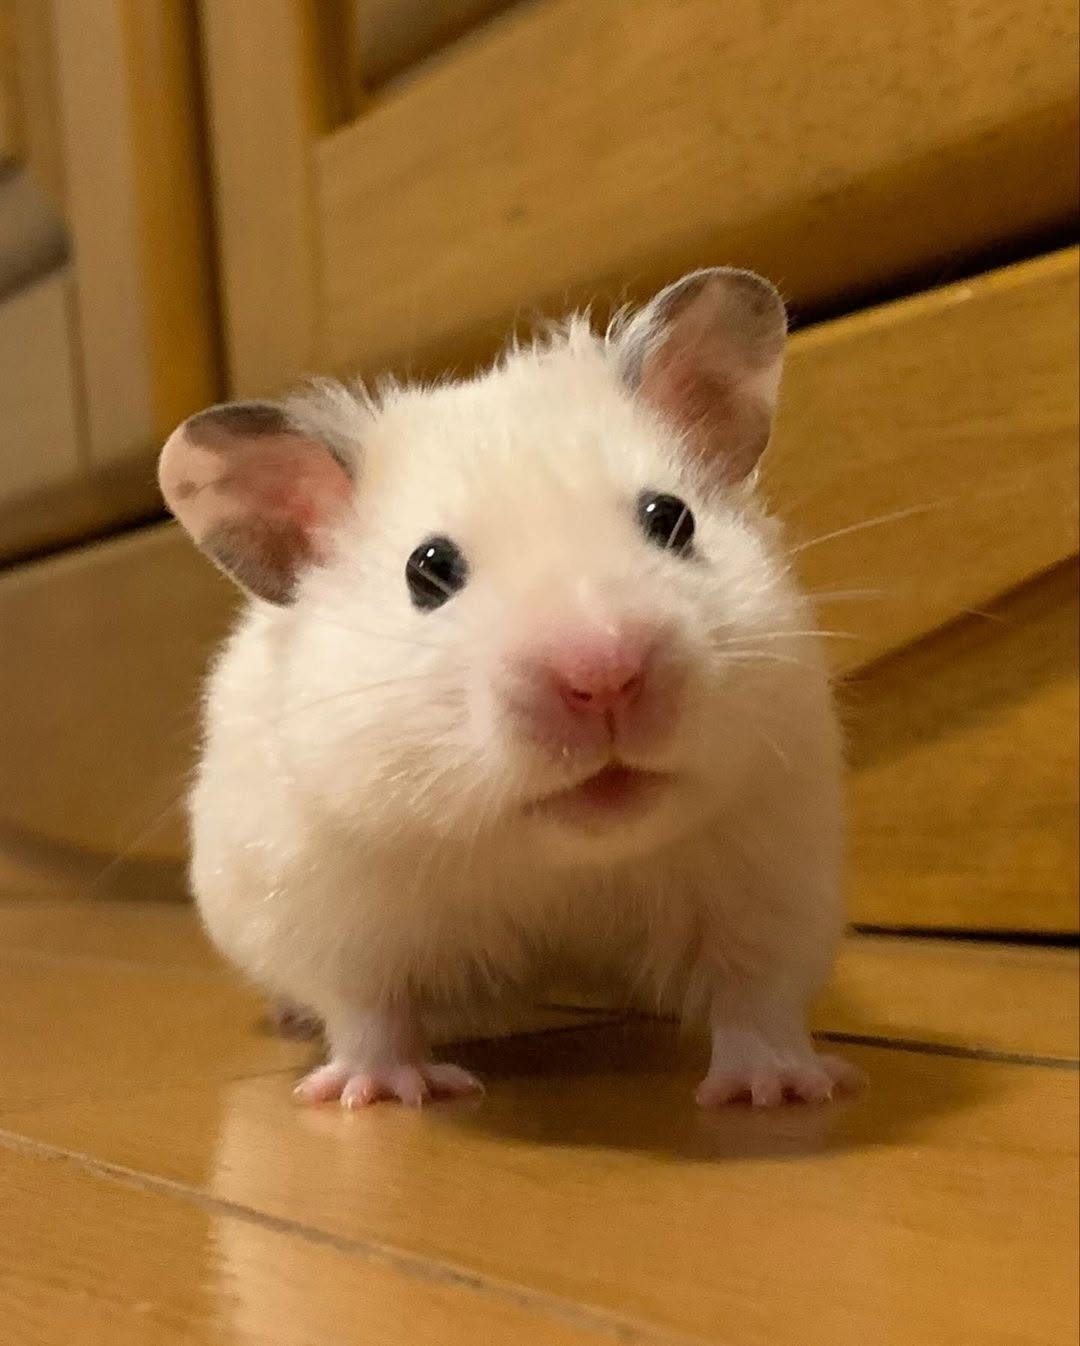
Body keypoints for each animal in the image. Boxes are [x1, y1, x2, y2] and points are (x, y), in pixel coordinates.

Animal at [159, 267, 859, 1109]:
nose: (604, 673)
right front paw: (382, 1095)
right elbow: (369, 1011)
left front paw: (780, 1091)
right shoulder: (329, 909)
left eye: (672, 519)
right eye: (428, 570)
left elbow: (759, 995)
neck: (559, 865)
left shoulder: (773, 873)